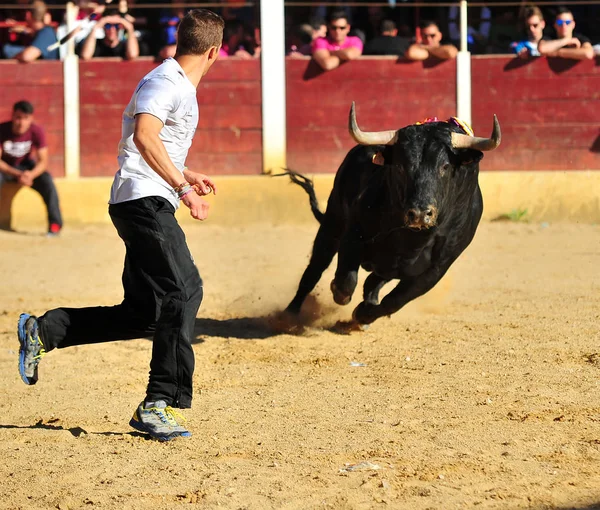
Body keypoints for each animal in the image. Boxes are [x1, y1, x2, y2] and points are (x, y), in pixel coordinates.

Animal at [282, 102, 502, 326]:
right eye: (400, 166)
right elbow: (346, 282)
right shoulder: (353, 234)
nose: (420, 213)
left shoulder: (437, 268)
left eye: (445, 166)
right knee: (315, 269)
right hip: (333, 222)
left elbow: (394, 301)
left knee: (373, 282)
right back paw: (288, 315)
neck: (414, 238)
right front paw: (339, 292)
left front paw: (362, 315)